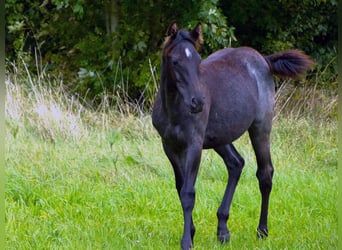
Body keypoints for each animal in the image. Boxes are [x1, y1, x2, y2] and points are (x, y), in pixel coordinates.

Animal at [152, 22, 316, 250]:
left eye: (198, 60)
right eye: (175, 61)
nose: (198, 103)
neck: (173, 109)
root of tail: (264, 60)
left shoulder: (194, 144)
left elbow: (188, 192)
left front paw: (186, 241)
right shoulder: (169, 146)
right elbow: (180, 187)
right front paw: (191, 233)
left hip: (260, 128)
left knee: (265, 174)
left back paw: (262, 231)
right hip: (221, 137)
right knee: (236, 163)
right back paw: (223, 230)